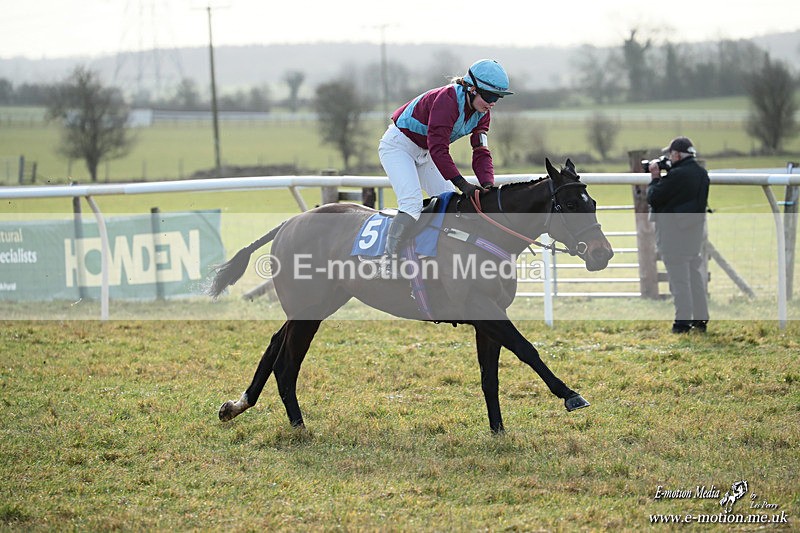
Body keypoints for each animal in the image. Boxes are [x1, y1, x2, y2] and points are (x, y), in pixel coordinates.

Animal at [209, 158, 614, 434]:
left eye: (592, 203)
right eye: (571, 205)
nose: (603, 253)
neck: (484, 232)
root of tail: (289, 223)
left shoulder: (487, 315)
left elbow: (490, 376)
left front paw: (498, 431)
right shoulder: (482, 309)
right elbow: (528, 350)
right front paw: (570, 394)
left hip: (319, 303)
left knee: (274, 344)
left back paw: (237, 405)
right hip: (308, 307)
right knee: (287, 363)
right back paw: (299, 427)